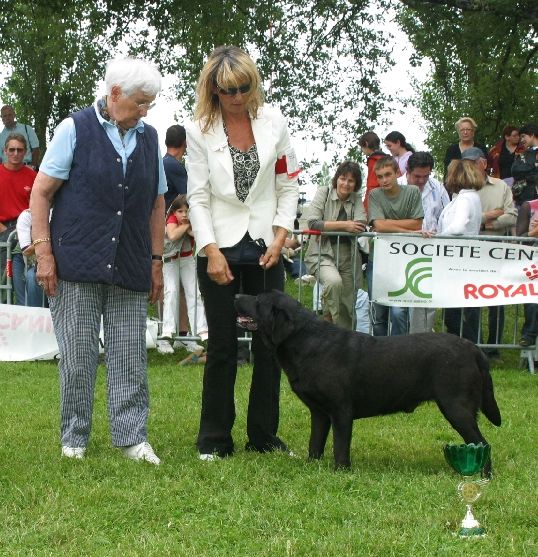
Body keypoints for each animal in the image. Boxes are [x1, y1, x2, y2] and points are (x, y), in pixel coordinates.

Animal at [234, 292, 498, 474]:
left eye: (258, 300)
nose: (236, 295)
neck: (307, 342)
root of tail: (474, 348)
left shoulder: (341, 410)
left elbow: (340, 445)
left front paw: (341, 471)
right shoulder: (319, 412)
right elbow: (315, 443)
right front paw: (312, 465)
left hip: (456, 407)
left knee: (483, 443)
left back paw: (483, 475)